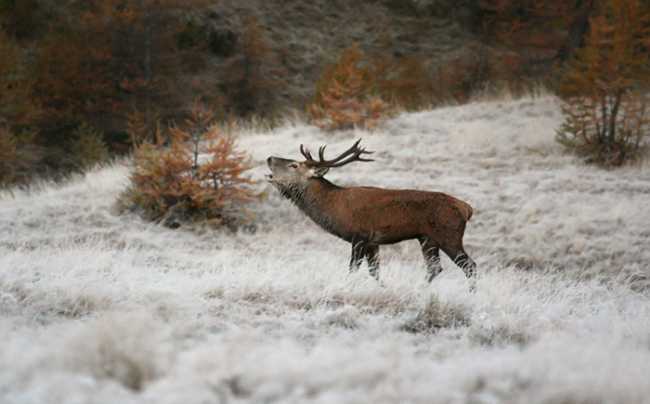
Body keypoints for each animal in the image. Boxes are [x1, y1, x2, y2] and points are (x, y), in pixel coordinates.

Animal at [266, 139, 477, 289]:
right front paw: (383, 288)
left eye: (294, 165)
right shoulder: (373, 243)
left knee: (469, 266)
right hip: (427, 238)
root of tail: (467, 208)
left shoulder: (359, 236)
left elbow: (353, 269)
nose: (269, 158)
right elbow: (374, 272)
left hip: (448, 235)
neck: (333, 208)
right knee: (435, 268)